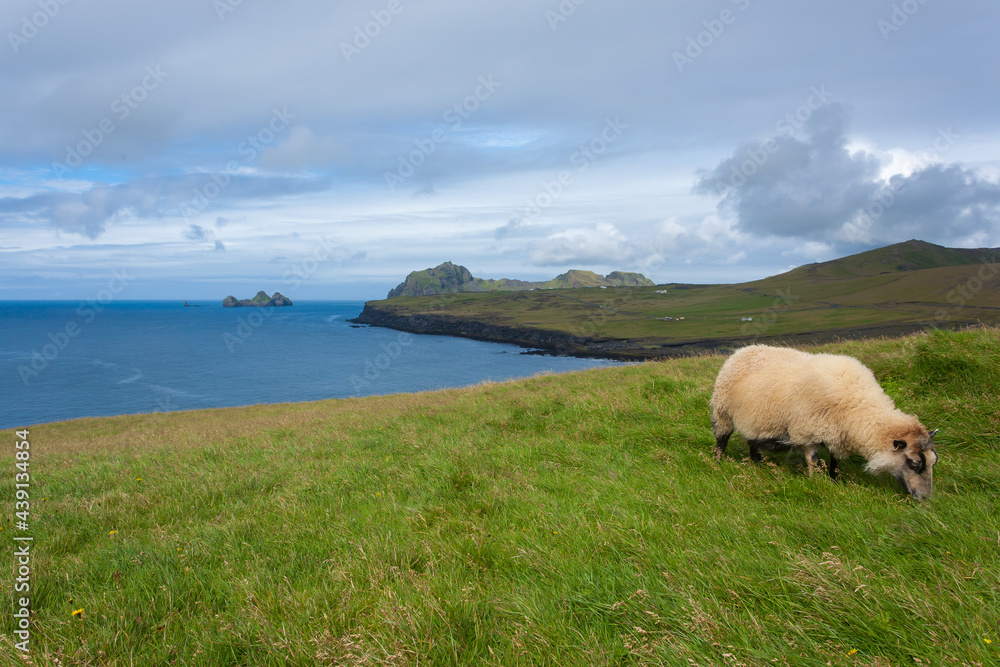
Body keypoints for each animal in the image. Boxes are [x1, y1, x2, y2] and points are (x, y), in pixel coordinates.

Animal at [712, 348, 936, 498]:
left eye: (934, 462)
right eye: (914, 463)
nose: (925, 498)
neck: (857, 406)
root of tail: (742, 351)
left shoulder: (837, 434)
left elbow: (835, 462)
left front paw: (835, 481)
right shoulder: (807, 431)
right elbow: (813, 460)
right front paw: (816, 481)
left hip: (755, 419)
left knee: (752, 440)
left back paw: (757, 462)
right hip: (723, 412)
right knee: (722, 440)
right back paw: (717, 462)